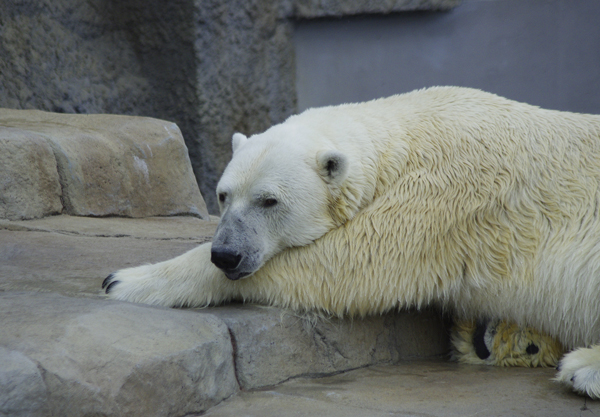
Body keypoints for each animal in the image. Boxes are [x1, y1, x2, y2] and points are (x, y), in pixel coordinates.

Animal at [105, 86, 600, 398]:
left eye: (268, 200)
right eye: (223, 195)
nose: (227, 253)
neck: (412, 130)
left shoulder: (450, 194)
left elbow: (348, 263)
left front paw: (126, 280)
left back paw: (581, 370)